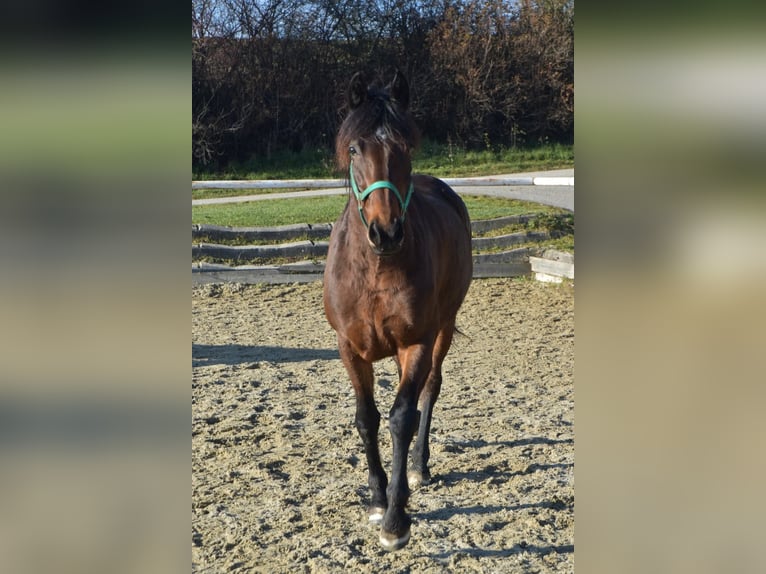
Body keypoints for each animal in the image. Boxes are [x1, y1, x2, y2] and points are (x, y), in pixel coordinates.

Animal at [320, 72, 472, 552]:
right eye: (354, 149)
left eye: (406, 146)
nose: (385, 232)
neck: (376, 268)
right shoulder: (348, 347)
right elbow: (367, 419)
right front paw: (376, 497)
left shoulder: (416, 342)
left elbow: (402, 418)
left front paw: (396, 518)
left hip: (444, 328)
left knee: (430, 392)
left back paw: (420, 467)